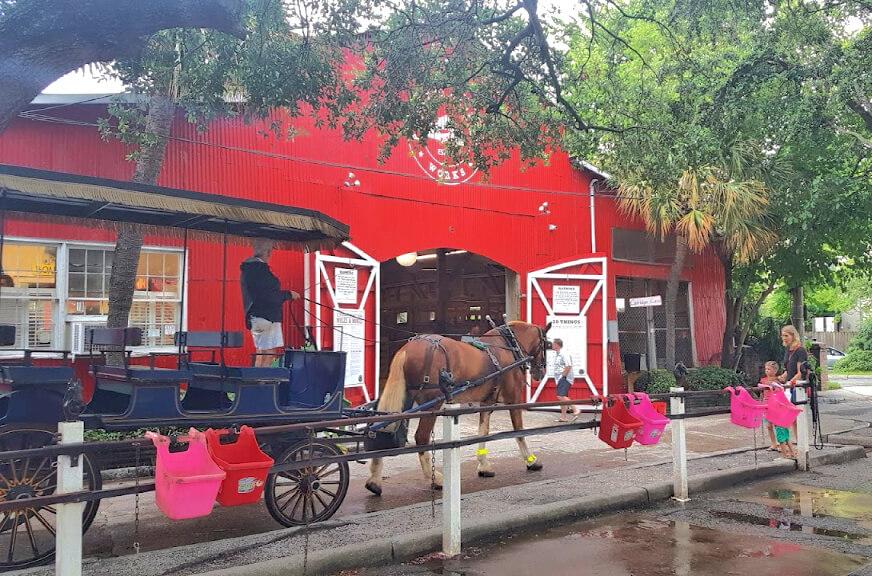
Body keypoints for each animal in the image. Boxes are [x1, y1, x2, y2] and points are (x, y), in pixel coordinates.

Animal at [364, 320, 548, 496]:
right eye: (545, 343)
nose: (541, 372)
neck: (508, 346)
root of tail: (409, 348)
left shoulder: (487, 402)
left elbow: (483, 431)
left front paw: (484, 466)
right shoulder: (513, 399)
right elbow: (519, 431)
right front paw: (531, 461)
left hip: (407, 398)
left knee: (384, 429)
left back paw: (374, 481)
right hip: (432, 403)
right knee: (421, 437)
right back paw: (435, 479)